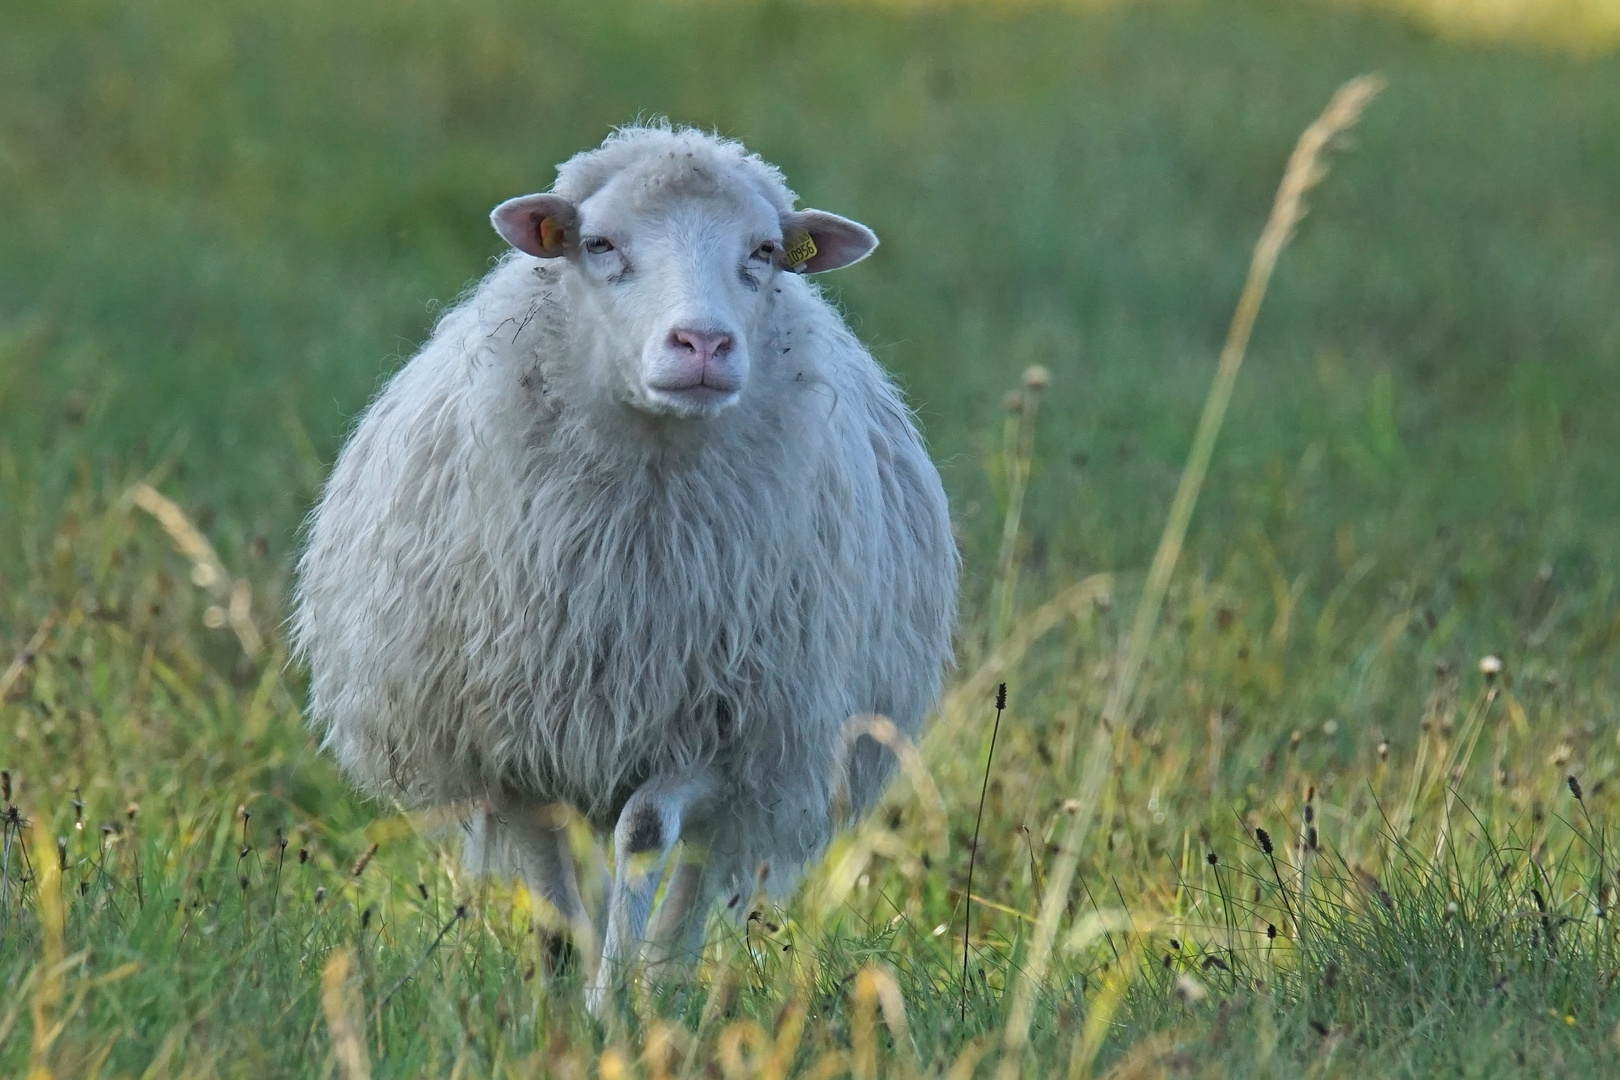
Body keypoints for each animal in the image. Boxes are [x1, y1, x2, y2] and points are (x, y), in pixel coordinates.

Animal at [291, 124, 952, 1003]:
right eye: (599, 244)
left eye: (766, 251)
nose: (703, 343)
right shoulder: (516, 738)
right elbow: (555, 880)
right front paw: (559, 998)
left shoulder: (718, 728)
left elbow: (644, 835)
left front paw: (611, 1000)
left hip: (763, 759)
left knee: (692, 876)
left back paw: (663, 981)